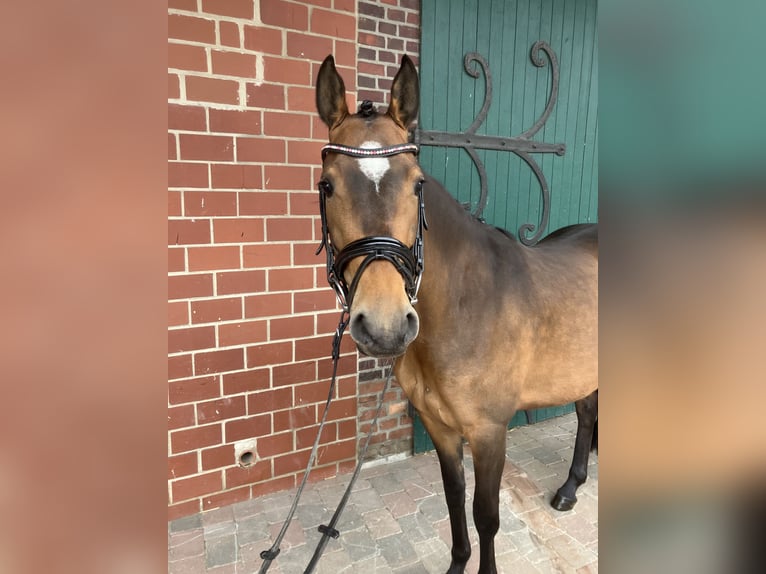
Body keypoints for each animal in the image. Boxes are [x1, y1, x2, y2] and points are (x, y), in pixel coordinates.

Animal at [314, 54, 598, 574]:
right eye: (326, 186)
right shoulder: (441, 429)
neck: (463, 309)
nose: (385, 325)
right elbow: (453, 501)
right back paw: (570, 488)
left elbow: (486, 515)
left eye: (418, 184)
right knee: (587, 412)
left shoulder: (488, 433)